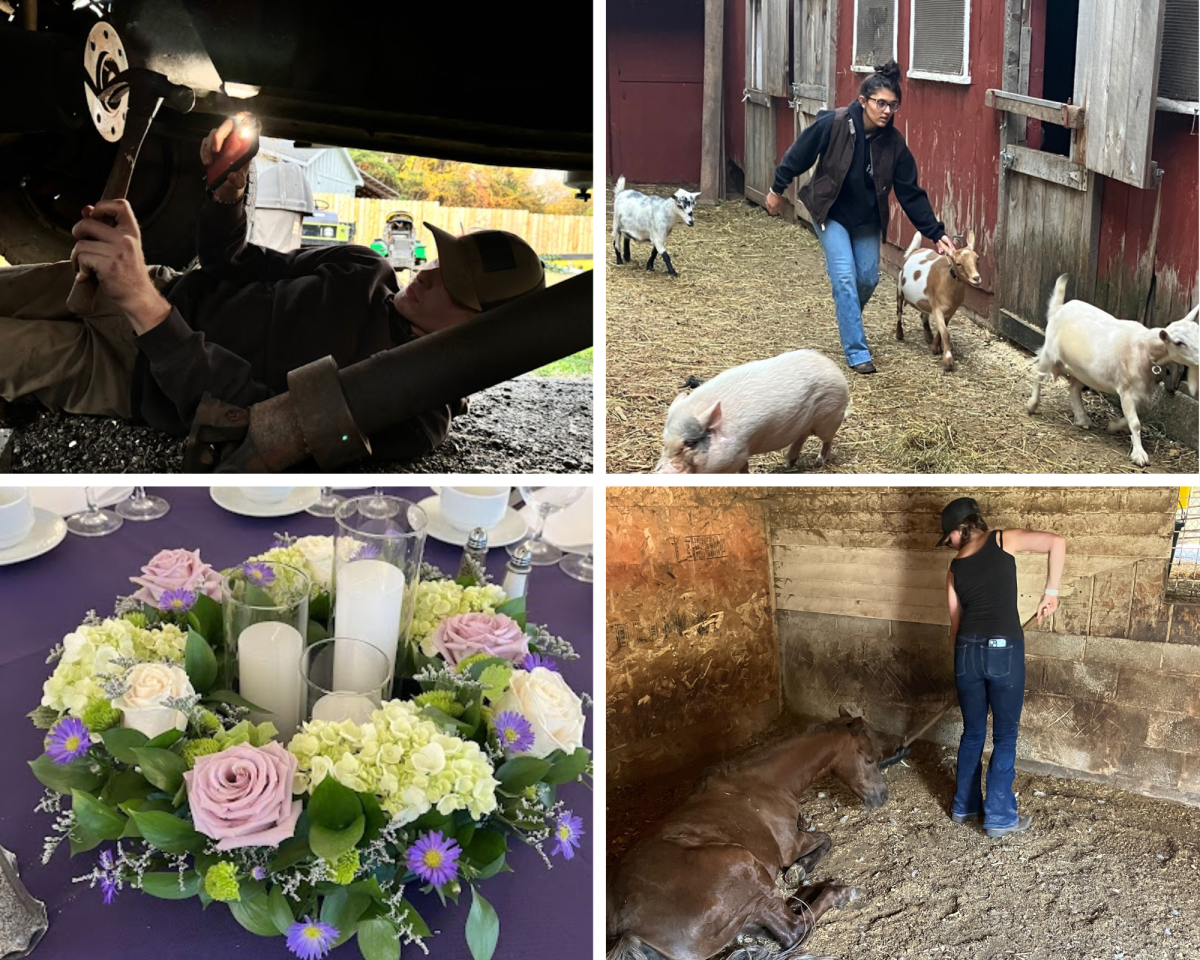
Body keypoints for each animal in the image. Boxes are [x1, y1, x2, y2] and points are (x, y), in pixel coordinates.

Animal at [604, 710, 888, 960]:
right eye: (869, 759)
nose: (882, 796)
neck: (765, 784)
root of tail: (629, 932)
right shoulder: (791, 846)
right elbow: (826, 838)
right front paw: (800, 868)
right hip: (745, 866)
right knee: (795, 929)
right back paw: (841, 892)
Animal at [652, 350, 849, 475]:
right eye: (665, 442)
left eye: (690, 443)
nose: (661, 472)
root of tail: (833, 367)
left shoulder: (738, 453)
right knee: (803, 435)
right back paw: (790, 462)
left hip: (829, 418)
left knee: (827, 440)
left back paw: (818, 461)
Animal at [897, 230, 979, 369]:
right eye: (958, 263)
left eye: (977, 259)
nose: (976, 278)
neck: (945, 282)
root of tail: (914, 251)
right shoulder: (938, 309)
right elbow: (945, 332)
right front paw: (948, 360)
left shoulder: (950, 310)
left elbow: (943, 330)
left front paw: (935, 347)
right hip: (899, 288)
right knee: (899, 311)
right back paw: (899, 335)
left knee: (923, 314)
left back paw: (928, 337)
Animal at [1022, 273, 1200, 468]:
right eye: (1179, 342)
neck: (1145, 347)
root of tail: (1058, 308)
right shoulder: (1126, 389)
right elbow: (1135, 423)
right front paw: (1139, 454)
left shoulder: (1140, 391)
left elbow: (1136, 417)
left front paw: (1114, 425)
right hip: (1050, 353)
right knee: (1038, 375)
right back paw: (1032, 405)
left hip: (1082, 370)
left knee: (1074, 388)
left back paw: (1082, 419)